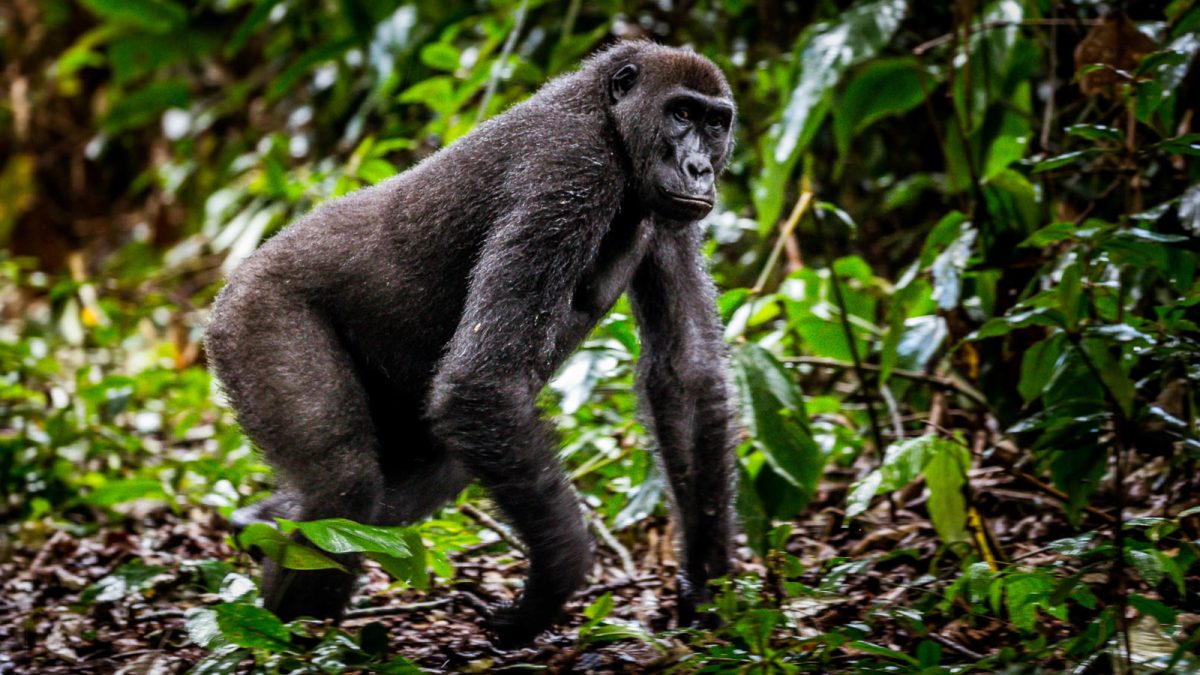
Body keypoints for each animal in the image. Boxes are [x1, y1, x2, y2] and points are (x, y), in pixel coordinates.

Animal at [205, 40, 738, 646]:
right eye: (681, 114)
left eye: (715, 124)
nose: (699, 169)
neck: (608, 119)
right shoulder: (569, 169)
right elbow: (480, 381)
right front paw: (554, 581)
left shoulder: (665, 213)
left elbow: (686, 373)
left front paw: (705, 581)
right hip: (254, 312)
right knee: (343, 484)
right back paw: (291, 642)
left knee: (397, 493)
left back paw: (259, 524)